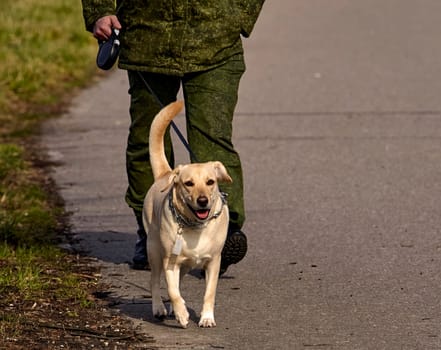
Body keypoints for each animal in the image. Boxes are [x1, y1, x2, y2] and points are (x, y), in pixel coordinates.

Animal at [144, 99, 234, 328]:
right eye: (188, 183)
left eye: (210, 182)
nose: (202, 201)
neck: (196, 226)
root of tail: (166, 173)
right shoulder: (169, 261)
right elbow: (172, 290)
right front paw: (182, 314)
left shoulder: (214, 262)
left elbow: (209, 293)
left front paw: (206, 317)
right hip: (154, 250)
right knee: (155, 281)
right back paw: (160, 307)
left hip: (185, 265)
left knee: (179, 280)